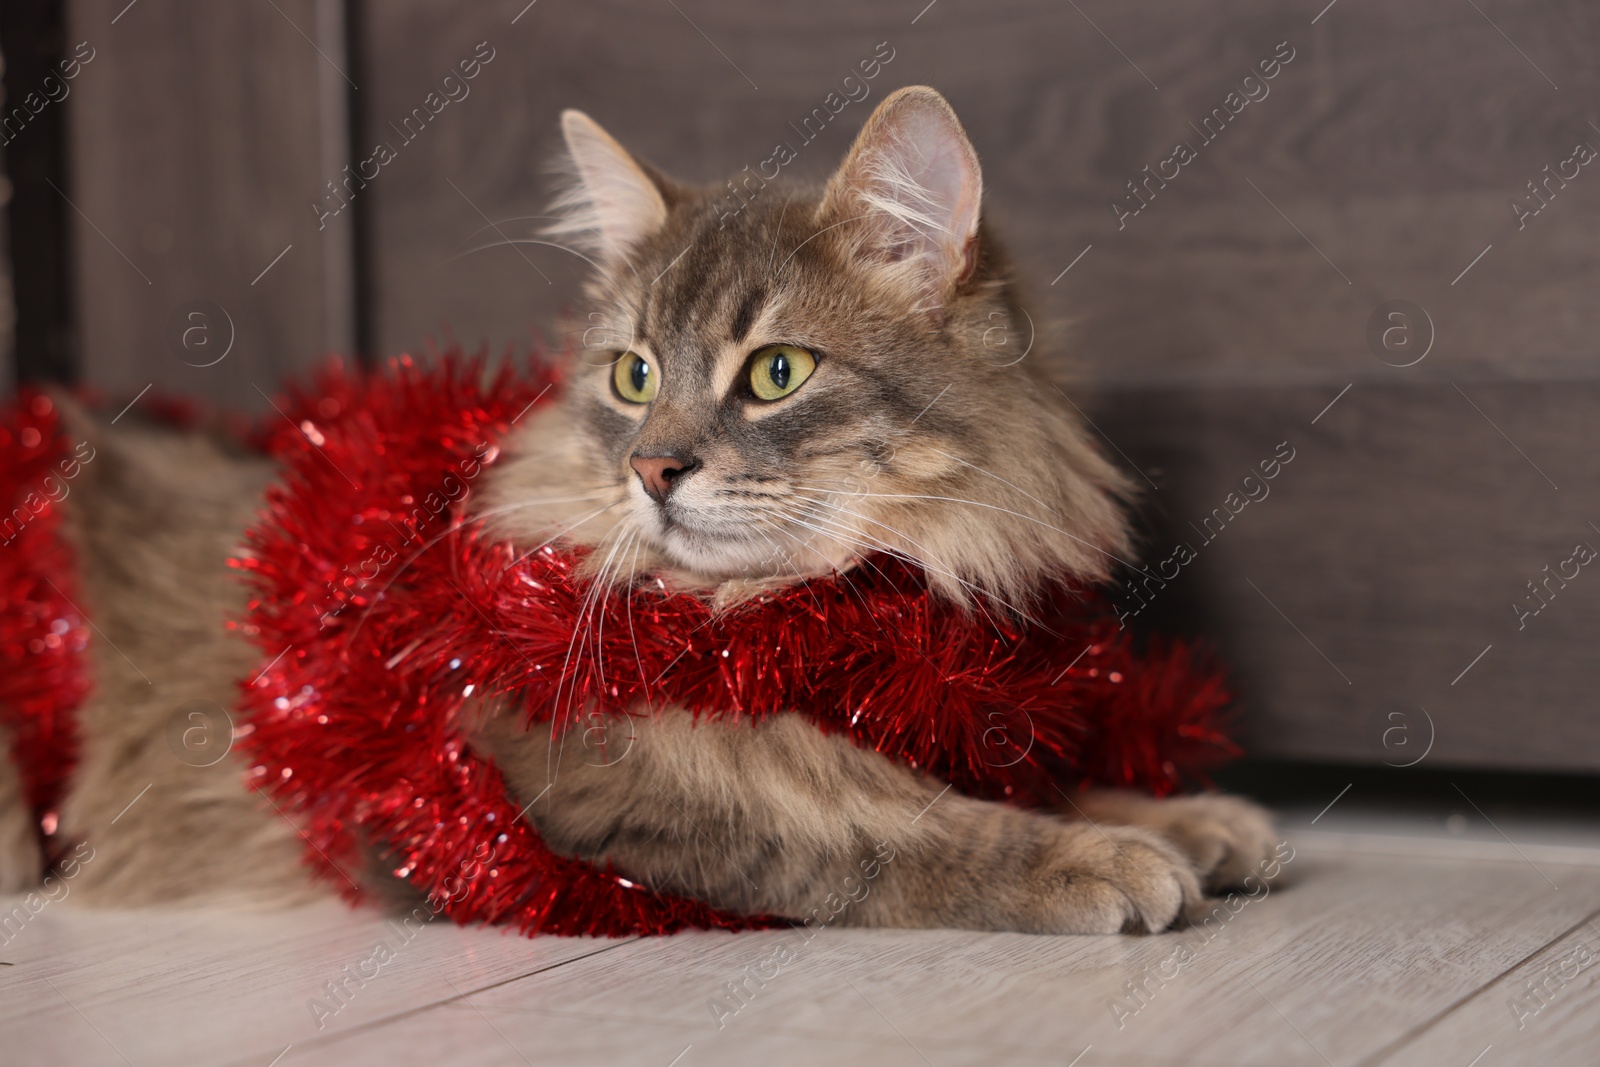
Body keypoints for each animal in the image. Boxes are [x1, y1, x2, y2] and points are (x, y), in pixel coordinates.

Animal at [0, 85, 1273, 934]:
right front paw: (1103, 856)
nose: (655, 470)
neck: (839, 610)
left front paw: (1187, 815)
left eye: (776, 372)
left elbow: (1010, 774)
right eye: (633, 375)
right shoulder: (593, 777)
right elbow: (890, 824)